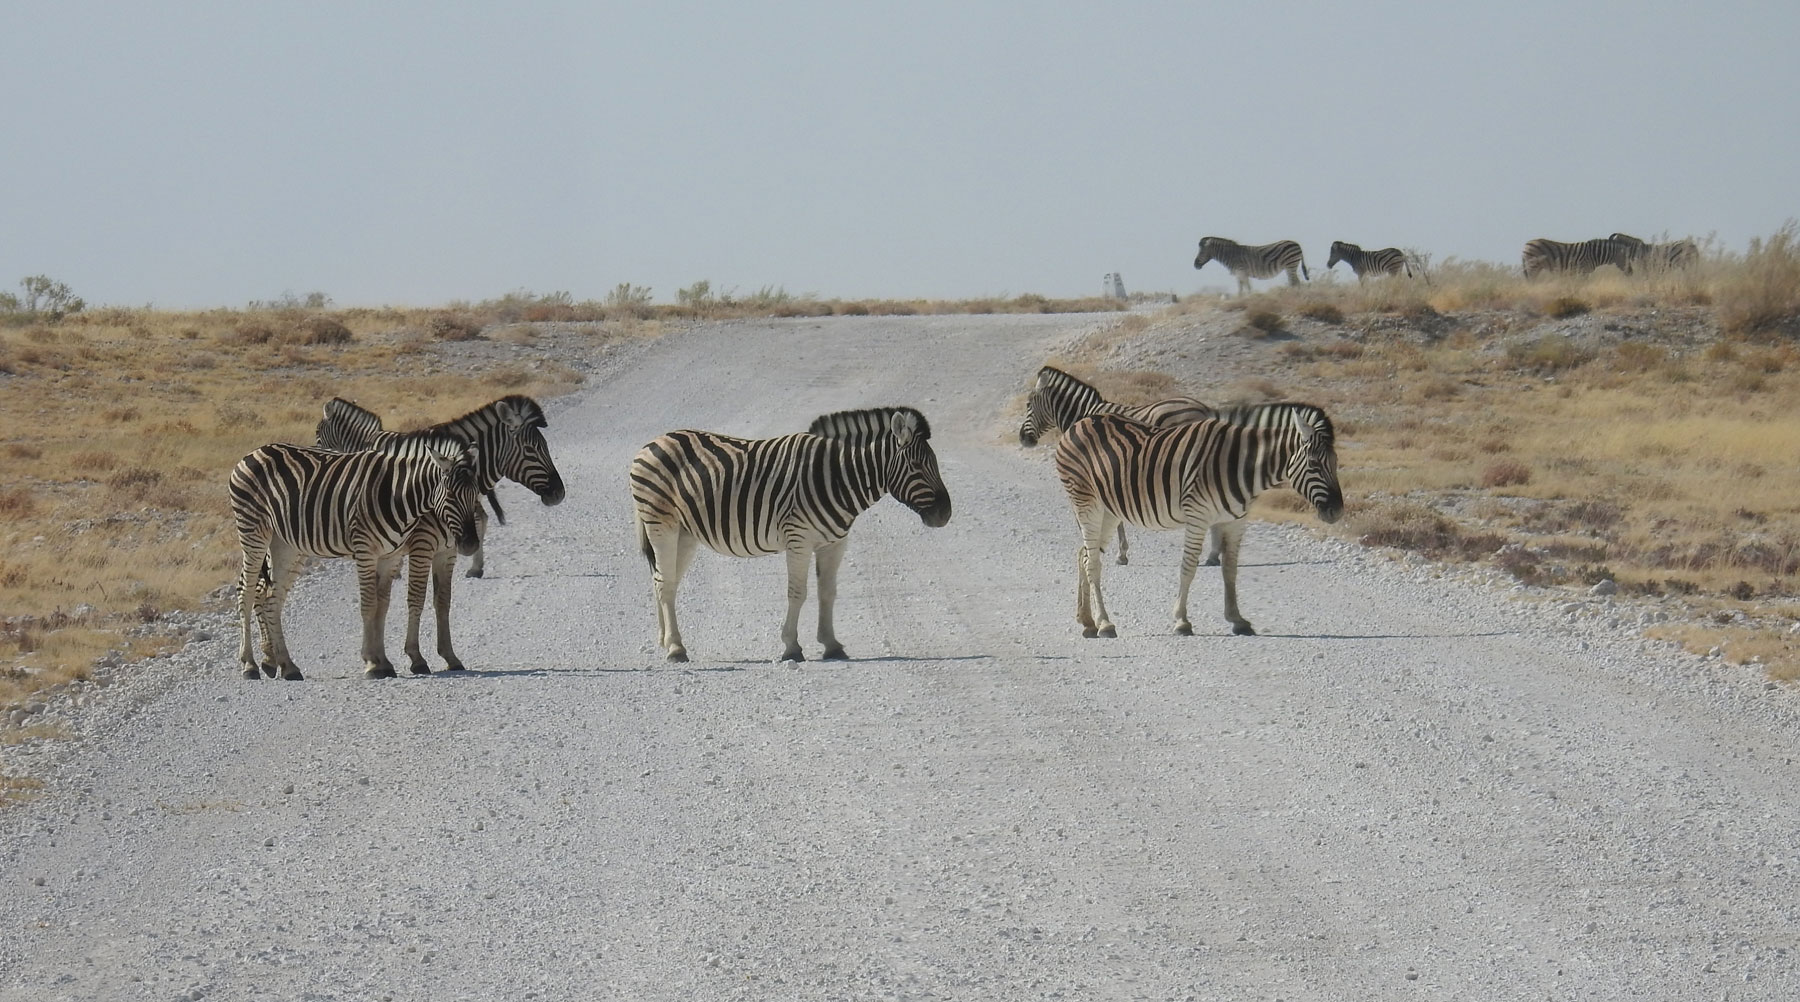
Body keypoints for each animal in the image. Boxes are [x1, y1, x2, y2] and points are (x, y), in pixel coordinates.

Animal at [234, 433, 486, 676]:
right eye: (451, 495)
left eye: (475, 493)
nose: (470, 544)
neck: (400, 496)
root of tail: (254, 452)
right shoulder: (403, 548)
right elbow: (387, 602)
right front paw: (389, 662)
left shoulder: (419, 554)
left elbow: (425, 603)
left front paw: (443, 658)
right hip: (253, 532)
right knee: (248, 591)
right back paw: (251, 664)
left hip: (288, 546)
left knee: (270, 598)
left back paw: (283, 664)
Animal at [626, 402, 950, 662]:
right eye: (917, 464)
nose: (945, 514)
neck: (837, 476)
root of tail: (652, 441)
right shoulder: (799, 538)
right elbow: (798, 592)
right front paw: (792, 647)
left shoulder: (835, 543)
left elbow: (827, 592)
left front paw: (831, 645)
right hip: (661, 524)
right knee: (666, 584)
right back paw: (676, 649)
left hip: (685, 534)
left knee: (661, 580)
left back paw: (665, 641)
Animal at [1051, 402, 1339, 636]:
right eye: (1314, 464)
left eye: (1336, 464)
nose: (1337, 511)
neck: (1240, 465)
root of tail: (1079, 423)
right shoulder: (1198, 515)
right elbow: (1188, 568)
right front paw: (1181, 621)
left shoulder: (1236, 521)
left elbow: (1230, 569)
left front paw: (1237, 619)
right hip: (1087, 502)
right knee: (1093, 563)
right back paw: (1105, 623)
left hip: (1109, 510)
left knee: (1084, 555)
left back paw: (1087, 622)